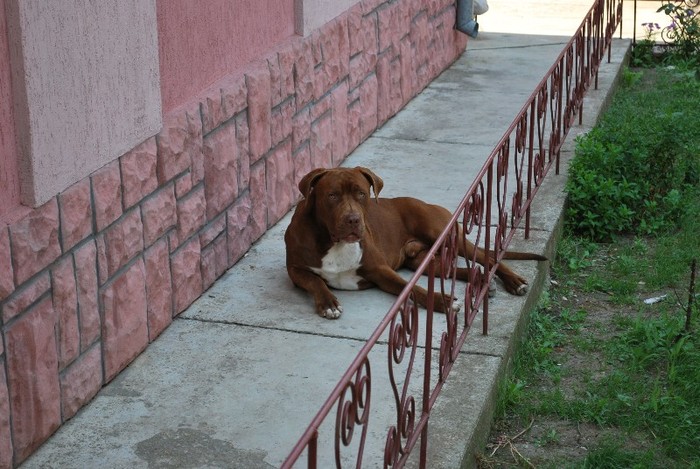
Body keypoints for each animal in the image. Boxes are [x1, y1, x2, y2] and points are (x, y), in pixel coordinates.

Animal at [284, 165, 548, 318]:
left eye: (361, 193)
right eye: (332, 195)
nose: (353, 219)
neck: (333, 242)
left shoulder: (380, 270)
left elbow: (411, 288)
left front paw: (442, 302)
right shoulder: (295, 270)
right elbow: (316, 281)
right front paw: (328, 302)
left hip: (443, 233)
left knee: (487, 257)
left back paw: (514, 281)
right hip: (420, 259)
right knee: (451, 267)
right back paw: (483, 280)